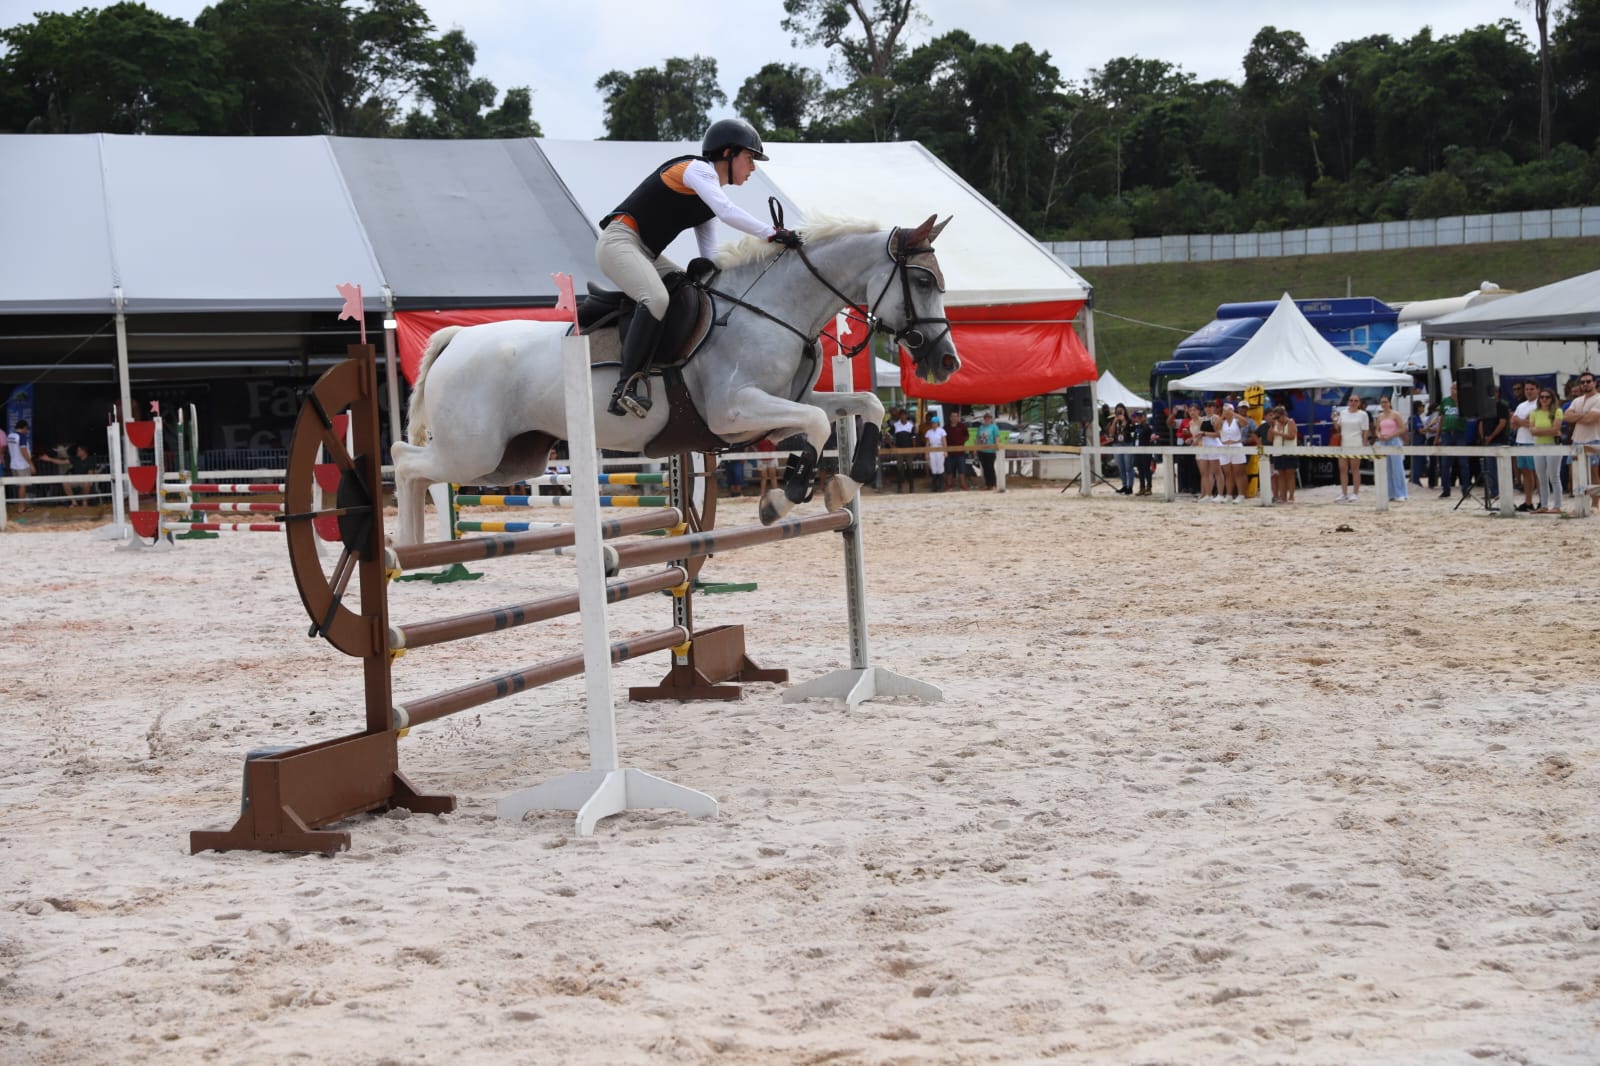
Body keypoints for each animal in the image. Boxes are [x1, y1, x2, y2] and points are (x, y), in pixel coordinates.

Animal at [391, 214, 961, 546]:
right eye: (922, 279)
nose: (947, 362)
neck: (771, 309)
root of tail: (456, 339)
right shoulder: (733, 412)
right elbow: (819, 427)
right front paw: (782, 498)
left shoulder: (779, 408)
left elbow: (865, 404)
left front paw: (846, 480)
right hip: (474, 451)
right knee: (406, 461)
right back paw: (407, 553)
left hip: (512, 460)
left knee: (418, 467)